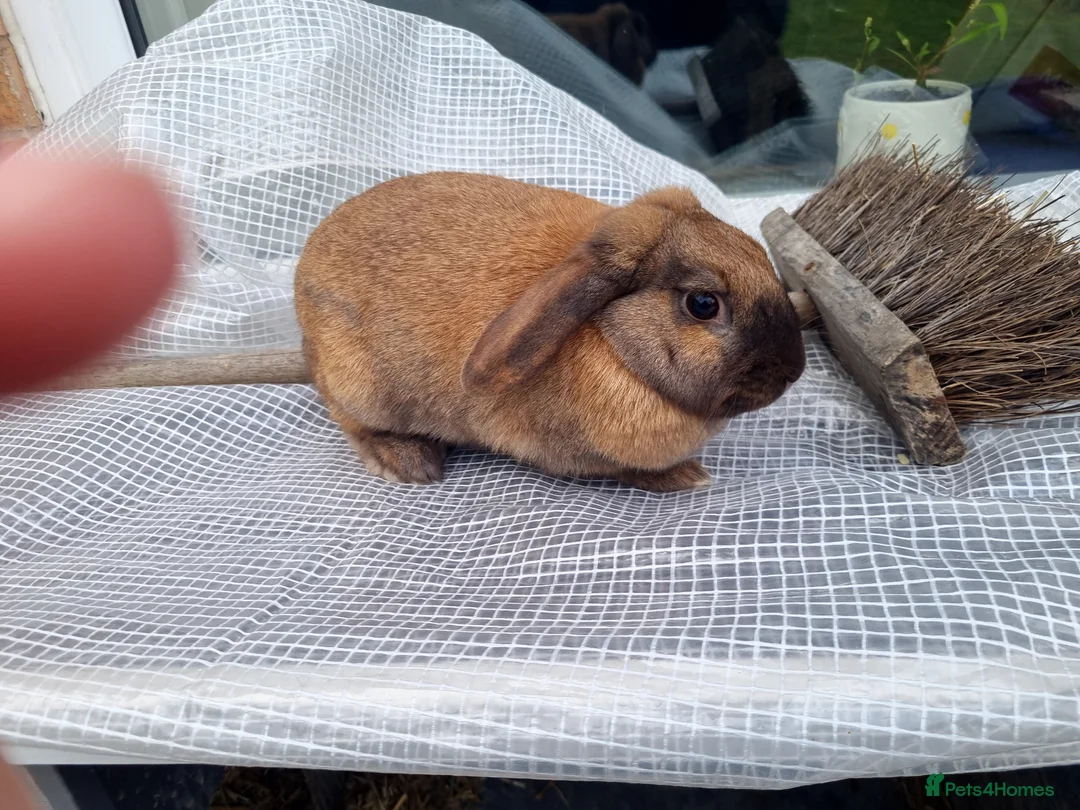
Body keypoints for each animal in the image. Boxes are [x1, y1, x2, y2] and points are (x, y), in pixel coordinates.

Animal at [292, 171, 805, 492]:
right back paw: (407, 462)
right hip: (359, 387)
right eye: (703, 304)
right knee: (350, 422)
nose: (793, 371)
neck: (610, 341)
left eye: (757, 252)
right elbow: (621, 471)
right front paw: (686, 477)